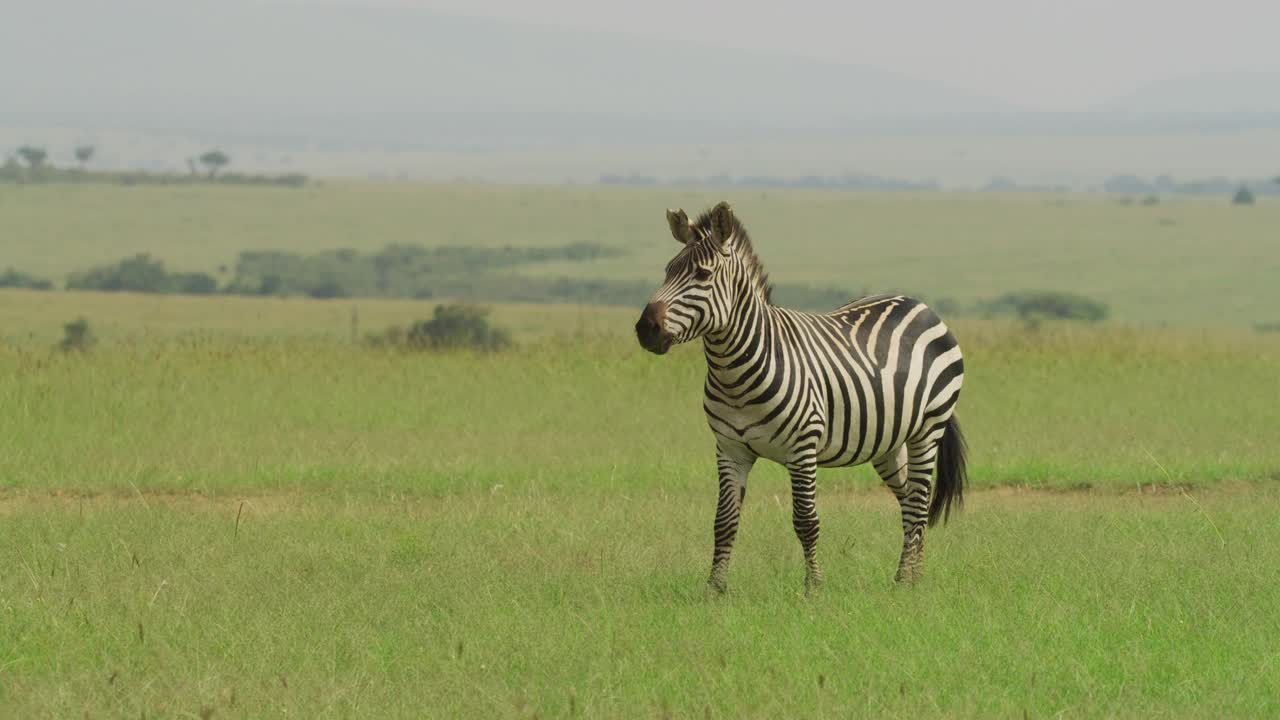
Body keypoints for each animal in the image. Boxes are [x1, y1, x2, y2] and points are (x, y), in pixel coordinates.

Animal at [634, 199, 962, 589]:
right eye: (668, 271)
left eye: (702, 275)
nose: (645, 329)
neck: (735, 374)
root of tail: (919, 304)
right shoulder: (729, 449)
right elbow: (723, 521)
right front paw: (714, 589)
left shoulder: (803, 448)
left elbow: (806, 522)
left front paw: (814, 588)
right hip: (889, 442)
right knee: (913, 503)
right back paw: (913, 576)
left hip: (927, 430)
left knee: (917, 506)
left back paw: (905, 584)